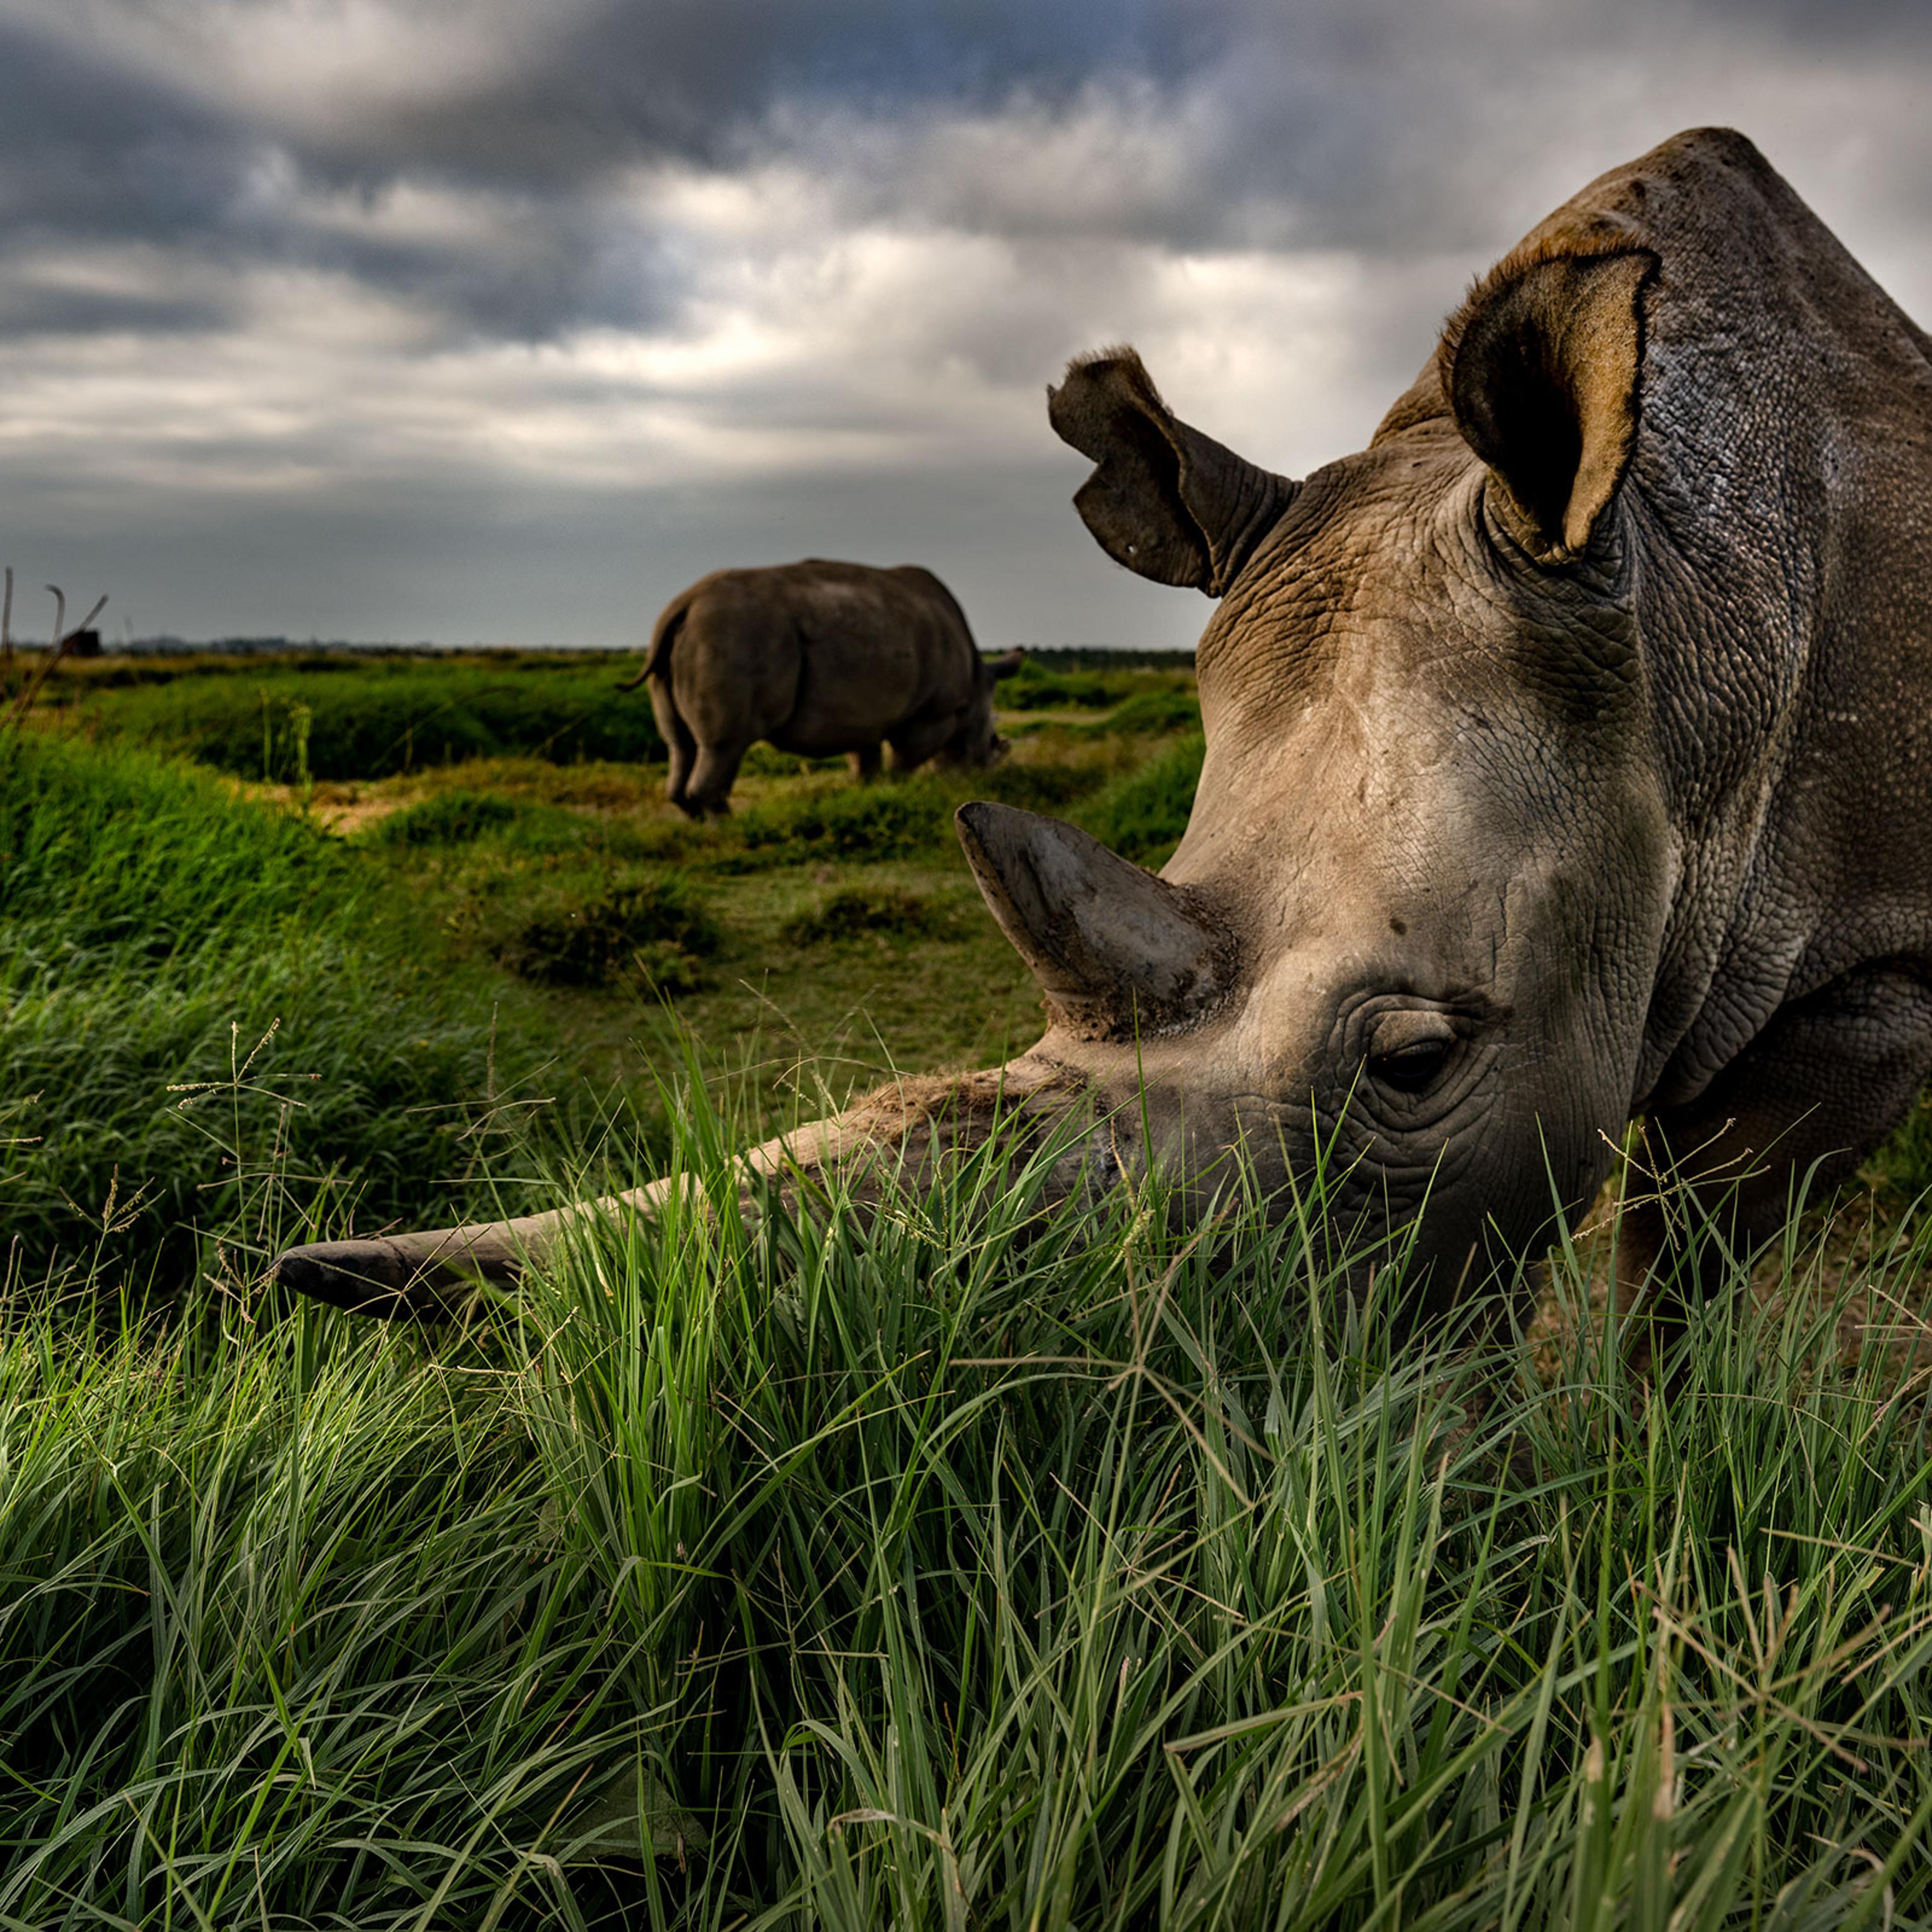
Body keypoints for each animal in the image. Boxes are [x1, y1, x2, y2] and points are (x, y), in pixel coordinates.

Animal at [621, 558, 1025, 816]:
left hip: (693, 640)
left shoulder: (864, 716)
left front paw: (870, 796)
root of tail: (686, 603)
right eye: (993, 740)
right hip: (733, 635)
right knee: (724, 744)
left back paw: (699, 825)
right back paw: (729, 829)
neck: (976, 682)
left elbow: (866, 763)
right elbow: (905, 761)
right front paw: (902, 790)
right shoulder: (933, 712)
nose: (984, 775)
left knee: (680, 744)